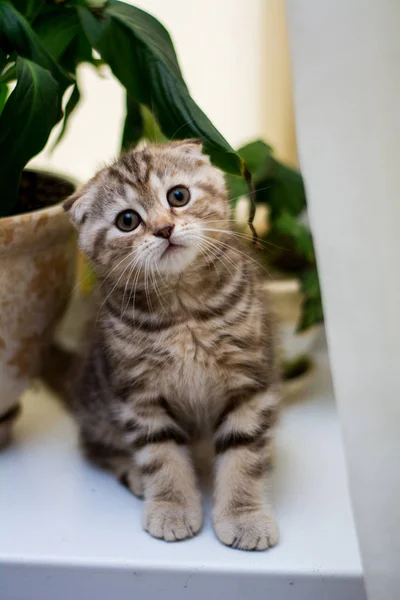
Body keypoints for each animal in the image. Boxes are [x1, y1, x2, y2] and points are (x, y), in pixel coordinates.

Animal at [64, 138, 280, 552]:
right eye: (127, 220)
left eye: (178, 196)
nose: (164, 229)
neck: (183, 312)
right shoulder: (139, 393)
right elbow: (162, 456)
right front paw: (172, 508)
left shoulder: (249, 380)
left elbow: (243, 453)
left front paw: (244, 515)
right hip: (95, 403)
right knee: (95, 446)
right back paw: (134, 474)